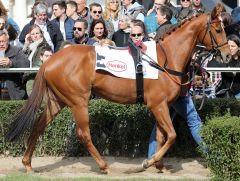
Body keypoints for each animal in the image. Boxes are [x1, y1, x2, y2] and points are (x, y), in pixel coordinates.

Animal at [6, 12, 230, 173]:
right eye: (218, 29)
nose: (227, 54)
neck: (164, 60)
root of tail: (51, 60)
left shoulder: (161, 106)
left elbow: (161, 136)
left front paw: (157, 164)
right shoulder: (158, 105)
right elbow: (172, 135)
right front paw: (149, 162)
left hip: (57, 101)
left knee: (38, 126)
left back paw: (27, 163)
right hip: (78, 101)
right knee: (83, 133)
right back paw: (104, 165)